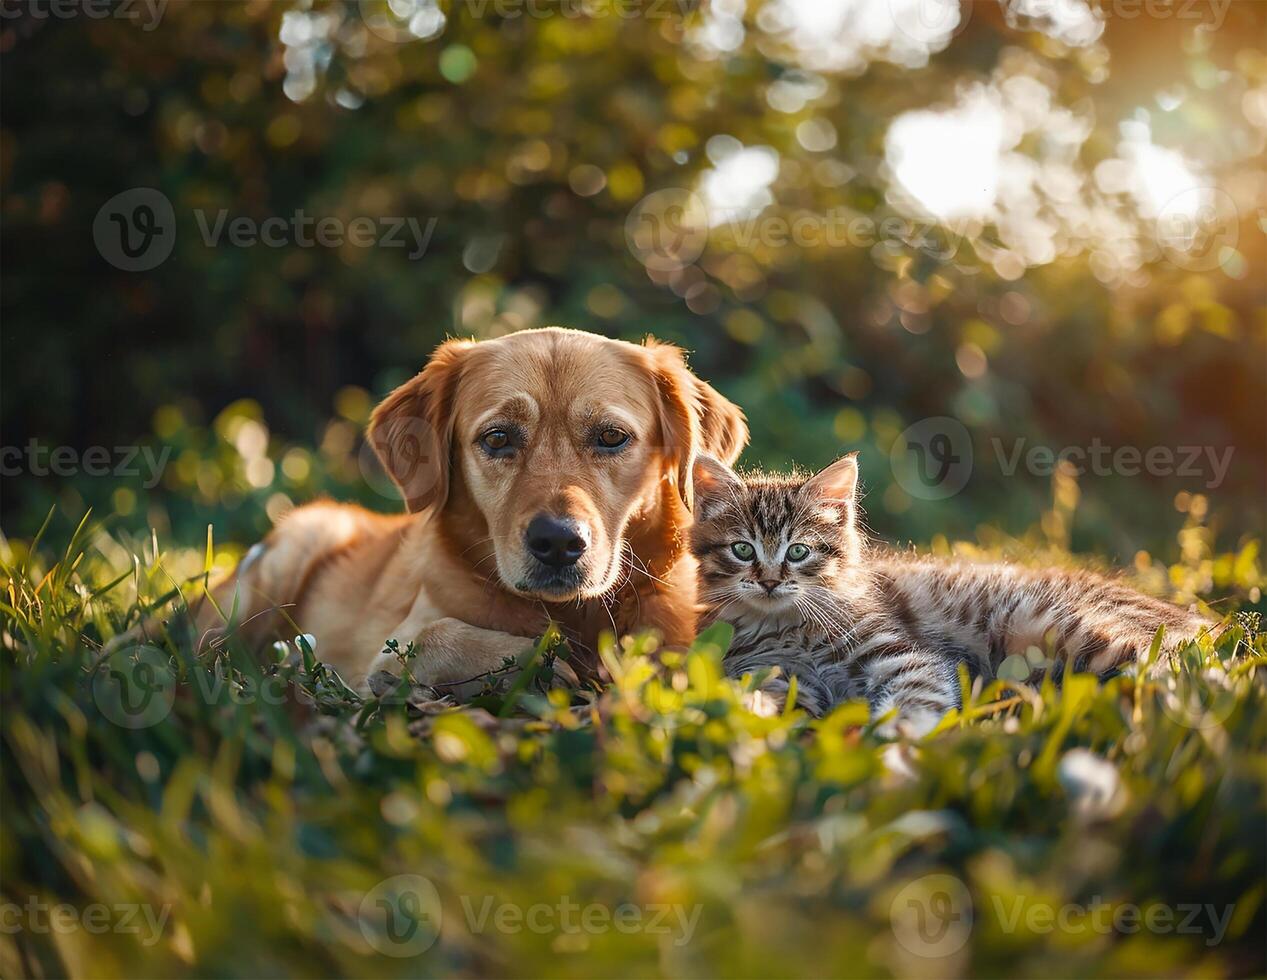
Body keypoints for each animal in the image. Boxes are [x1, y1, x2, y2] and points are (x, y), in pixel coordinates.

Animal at [181, 329, 750, 689]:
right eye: (498, 438)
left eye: (612, 437)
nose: (558, 542)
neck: (572, 614)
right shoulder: (390, 650)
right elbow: (439, 635)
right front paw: (545, 661)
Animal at [694, 451, 1216, 735]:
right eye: (743, 549)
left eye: (799, 551)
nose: (769, 579)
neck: (786, 626)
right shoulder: (771, 672)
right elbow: (767, 696)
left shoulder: (898, 651)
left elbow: (918, 695)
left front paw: (898, 740)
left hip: (1059, 626)